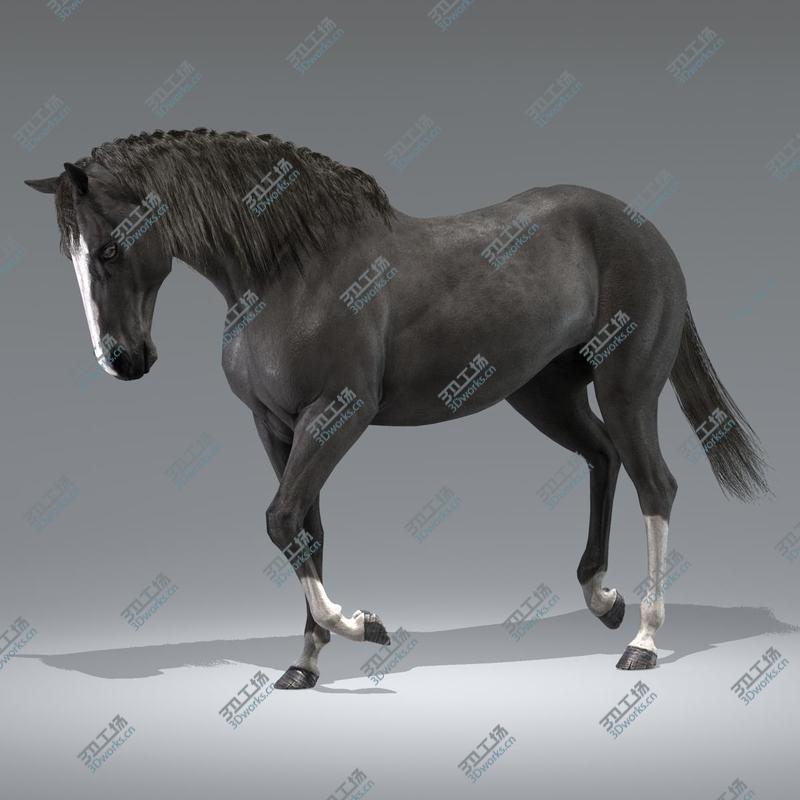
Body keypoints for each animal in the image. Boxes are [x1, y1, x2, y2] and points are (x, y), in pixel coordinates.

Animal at [25, 128, 770, 689]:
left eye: (110, 249)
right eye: (73, 259)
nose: (122, 360)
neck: (290, 270)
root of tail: (646, 232)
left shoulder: (339, 413)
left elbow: (279, 520)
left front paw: (364, 625)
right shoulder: (275, 426)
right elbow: (305, 530)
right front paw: (304, 665)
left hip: (626, 389)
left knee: (655, 486)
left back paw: (641, 640)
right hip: (543, 392)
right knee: (602, 458)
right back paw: (603, 599)